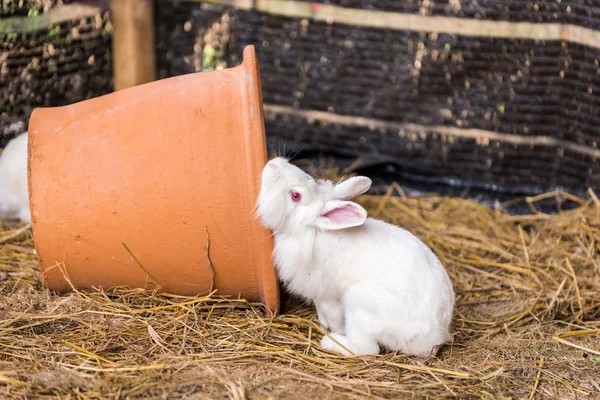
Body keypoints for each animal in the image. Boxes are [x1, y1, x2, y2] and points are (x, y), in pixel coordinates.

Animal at [254, 156, 454, 356]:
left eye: (295, 195)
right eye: (310, 178)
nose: (273, 163)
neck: (312, 231)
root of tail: (430, 337)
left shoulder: (327, 295)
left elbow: (332, 315)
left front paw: (332, 329)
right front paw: (323, 323)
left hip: (359, 308)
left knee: (367, 348)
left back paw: (331, 342)